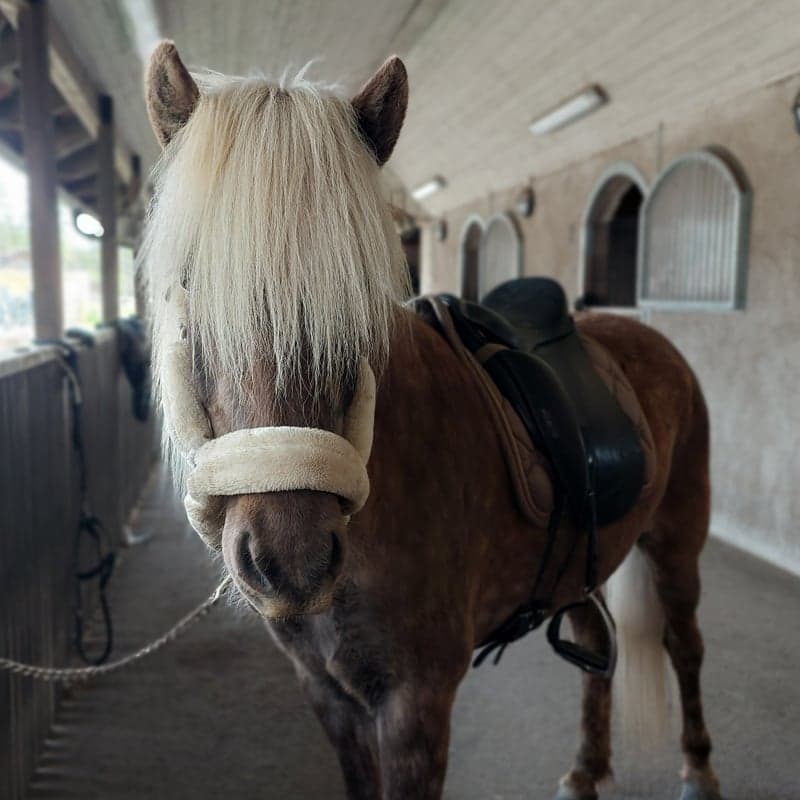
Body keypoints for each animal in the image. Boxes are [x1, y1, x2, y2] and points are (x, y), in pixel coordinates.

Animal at [142, 43, 720, 800]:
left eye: (357, 294)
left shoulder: (416, 703)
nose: (291, 561)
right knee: (598, 643)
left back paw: (699, 768)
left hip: (677, 544)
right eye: (190, 281)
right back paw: (585, 771)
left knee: (685, 645)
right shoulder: (328, 695)